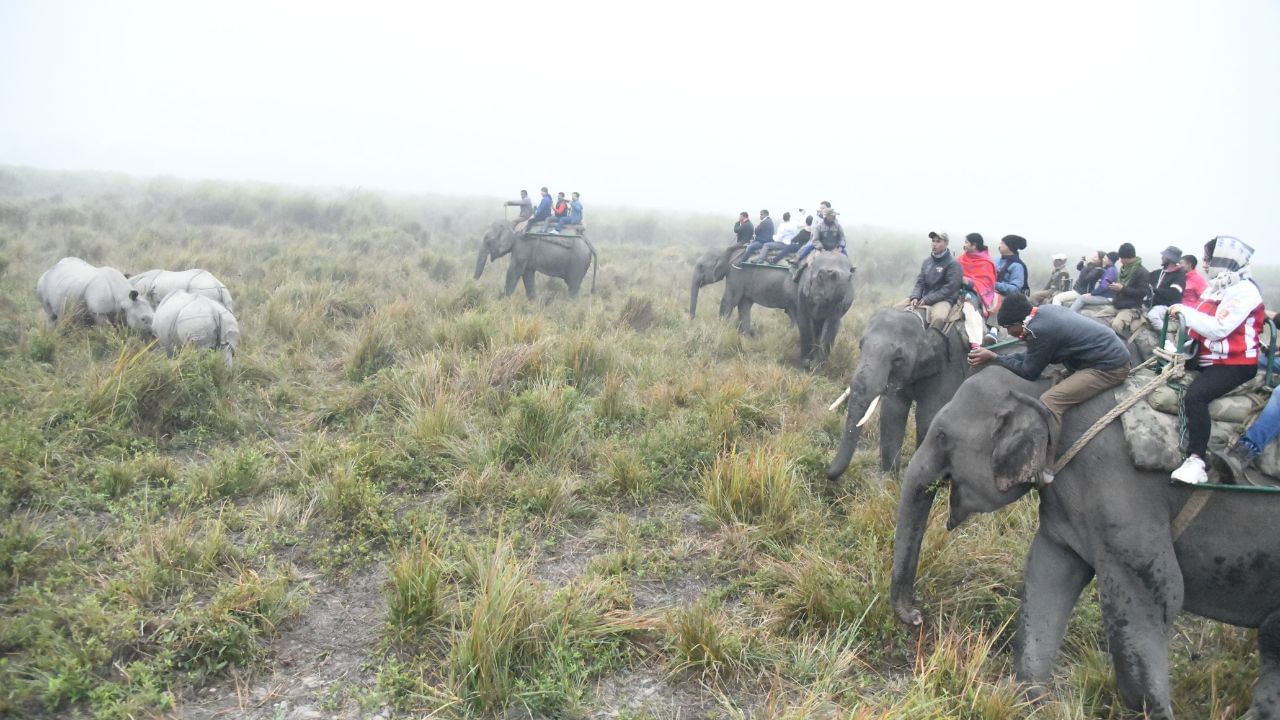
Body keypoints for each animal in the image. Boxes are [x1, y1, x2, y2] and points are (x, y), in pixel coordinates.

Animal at [824, 303, 962, 476]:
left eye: (898, 359)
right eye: (860, 346)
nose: (826, 471)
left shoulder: (950, 365)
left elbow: (929, 417)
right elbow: (892, 412)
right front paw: (890, 478)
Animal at [885, 366, 1280, 712]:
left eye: (941, 437)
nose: (918, 617)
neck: (1050, 388)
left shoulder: (1120, 485)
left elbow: (1157, 592)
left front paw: (1151, 709)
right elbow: (1048, 572)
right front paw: (1028, 702)